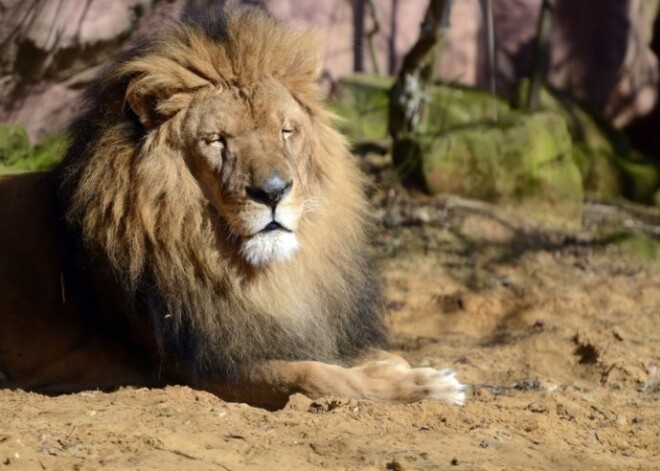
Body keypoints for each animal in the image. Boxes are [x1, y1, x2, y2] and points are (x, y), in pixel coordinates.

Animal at [0, 6, 464, 410]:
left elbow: (375, 356)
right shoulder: (205, 368)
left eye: (286, 131)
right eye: (217, 140)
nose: (273, 192)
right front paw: (428, 387)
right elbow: (315, 375)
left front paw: (406, 369)